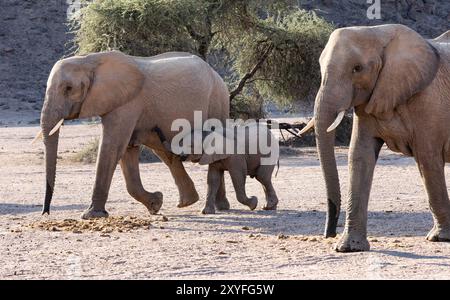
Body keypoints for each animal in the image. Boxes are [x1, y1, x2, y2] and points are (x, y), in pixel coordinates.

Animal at [36, 50, 230, 219]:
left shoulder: (127, 103)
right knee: (164, 152)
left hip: (217, 100)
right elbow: (127, 149)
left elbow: (113, 146)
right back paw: (193, 204)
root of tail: (215, 73)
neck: (89, 61)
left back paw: (217, 207)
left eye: (68, 88)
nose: (45, 212)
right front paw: (155, 204)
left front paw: (92, 216)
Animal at [302, 24, 450, 252]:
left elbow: (427, 160)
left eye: (357, 68)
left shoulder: (429, 102)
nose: (329, 233)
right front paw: (348, 247)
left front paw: (439, 238)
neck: (378, 32)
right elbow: (360, 156)